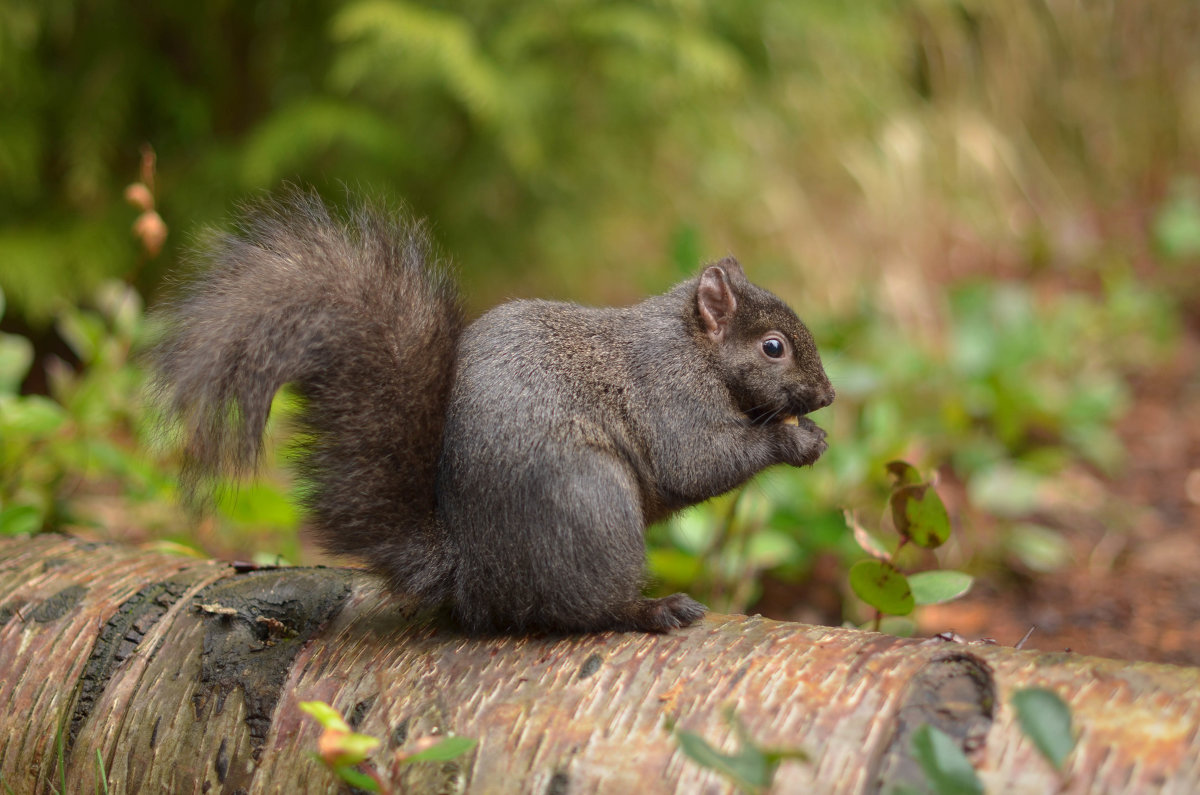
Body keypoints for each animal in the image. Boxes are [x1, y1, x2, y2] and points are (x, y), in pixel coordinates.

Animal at [152, 189, 835, 638]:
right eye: (773, 347)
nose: (827, 394)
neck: (694, 348)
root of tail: (471, 572)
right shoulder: (671, 397)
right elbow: (696, 463)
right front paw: (796, 442)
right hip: (591, 504)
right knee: (579, 611)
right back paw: (650, 610)